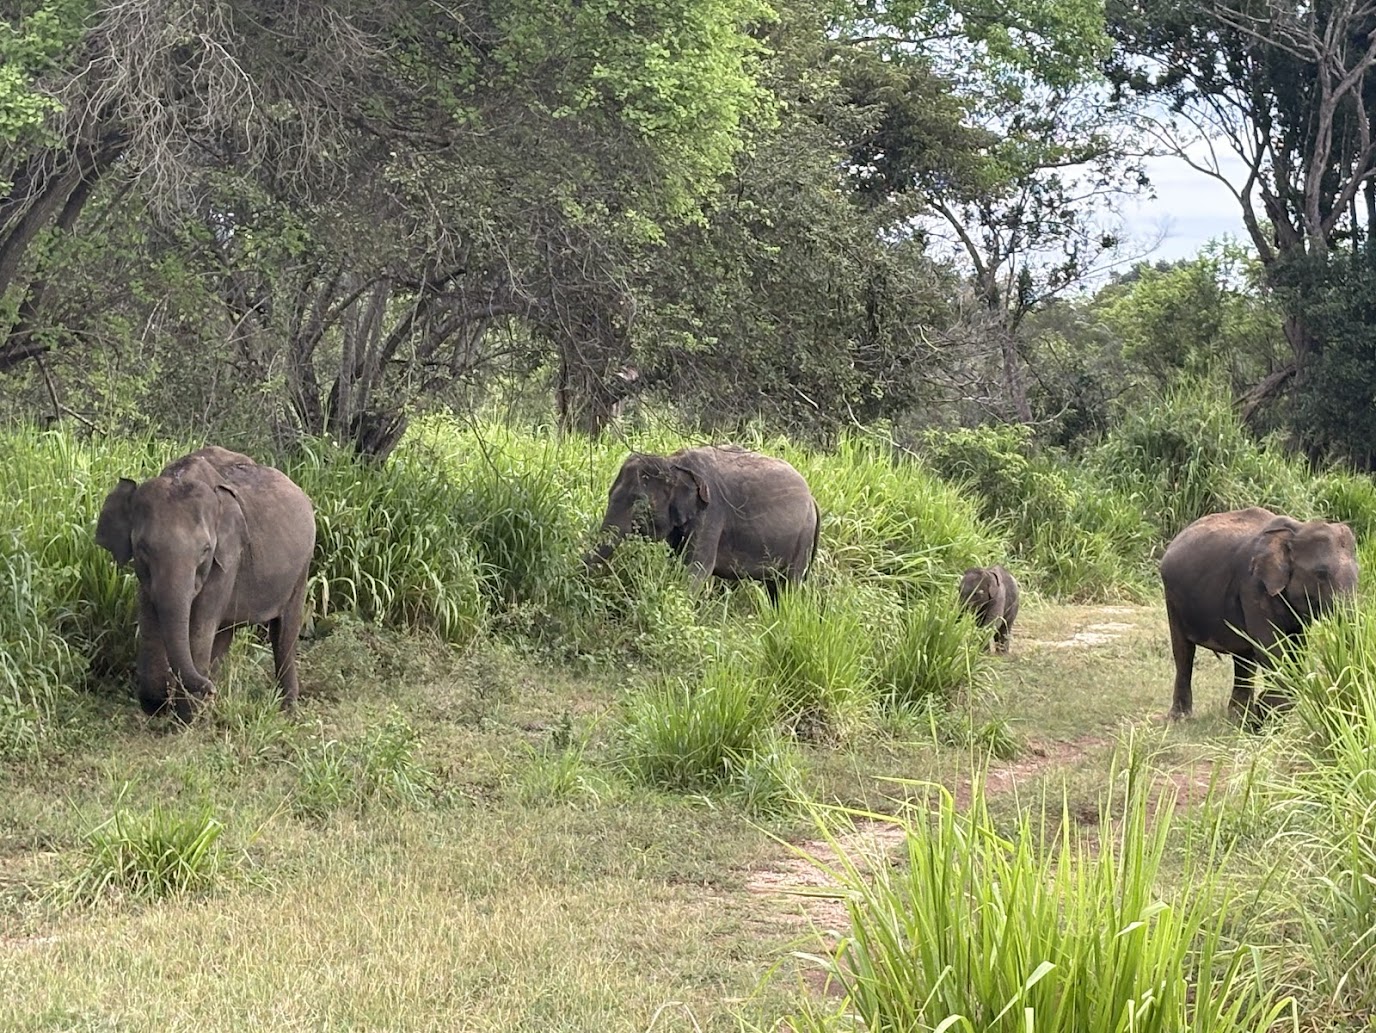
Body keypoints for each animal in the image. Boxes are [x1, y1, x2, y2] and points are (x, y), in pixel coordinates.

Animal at [95, 446, 317, 720]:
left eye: (205, 550)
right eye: (142, 547)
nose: (210, 690)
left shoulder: (226, 559)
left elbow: (200, 626)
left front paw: (188, 715)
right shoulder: (144, 574)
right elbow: (151, 619)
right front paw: (168, 704)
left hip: (302, 567)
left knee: (284, 630)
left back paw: (288, 711)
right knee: (225, 633)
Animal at [586, 445, 820, 600]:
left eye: (638, 501)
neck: (673, 463)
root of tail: (814, 500)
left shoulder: (711, 512)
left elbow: (698, 567)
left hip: (803, 539)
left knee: (788, 584)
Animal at [1159, 507, 1358, 725]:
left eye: (1359, 573)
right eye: (1321, 573)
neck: (1297, 530)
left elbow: (1297, 649)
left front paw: (1261, 714)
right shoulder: (1252, 586)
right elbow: (1270, 647)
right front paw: (1263, 714)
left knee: (1243, 658)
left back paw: (1237, 716)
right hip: (1172, 598)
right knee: (1183, 652)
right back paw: (1181, 718)